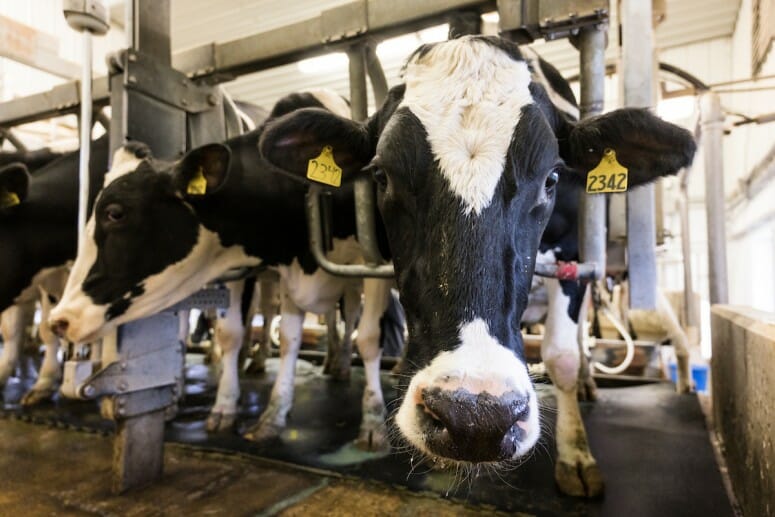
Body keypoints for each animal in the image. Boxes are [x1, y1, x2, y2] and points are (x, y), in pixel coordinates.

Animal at [49, 90, 394, 449]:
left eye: (115, 213)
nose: (59, 321)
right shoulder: (284, 269)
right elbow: (271, 337)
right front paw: (255, 413)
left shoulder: (376, 261)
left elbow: (369, 338)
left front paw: (373, 423)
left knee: (350, 315)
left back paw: (341, 365)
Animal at [256, 35, 696, 496]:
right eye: (381, 176)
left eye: (552, 178)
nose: (475, 419)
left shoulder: (574, 257)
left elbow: (561, 356)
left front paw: (576, 455)